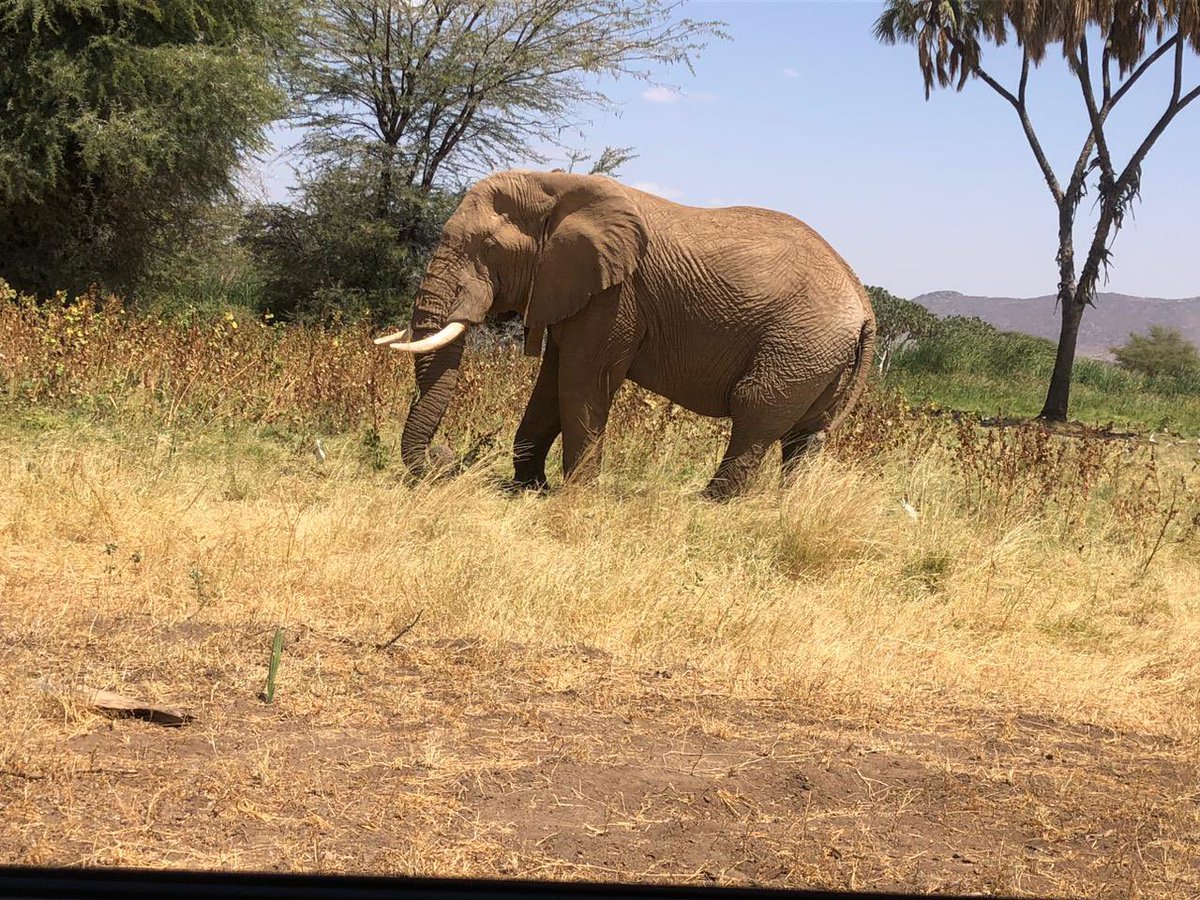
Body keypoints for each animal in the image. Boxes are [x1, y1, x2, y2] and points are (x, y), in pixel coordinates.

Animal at [375, 169, 876, 500]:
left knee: (755, 409)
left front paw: (574, 499)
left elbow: (582, 381)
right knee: (805, 436)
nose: (444, 456)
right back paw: (788, 507)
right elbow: (550, 383)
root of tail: (865, 305)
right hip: (820, 355)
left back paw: (705, 505)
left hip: (800, 344)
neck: (556, 185)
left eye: (489, 248)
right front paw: (526, 488)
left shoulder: (617, 296)